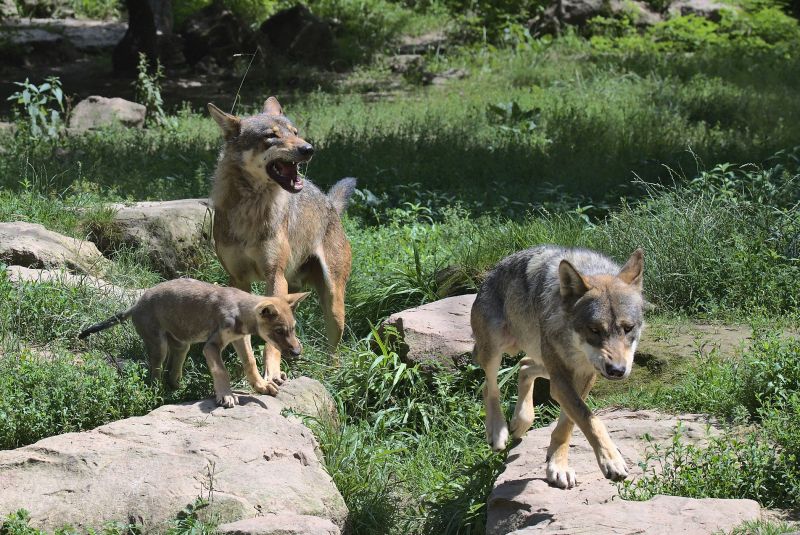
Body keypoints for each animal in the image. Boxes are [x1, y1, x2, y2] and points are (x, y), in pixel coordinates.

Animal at [79, 278, 310, 408]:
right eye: (279, 331)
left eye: (293, 328)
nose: (298, 352)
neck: (240, 310)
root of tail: (135, 305)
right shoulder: (211, 346)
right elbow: (221, 371)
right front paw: (226, 395)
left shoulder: (240, 340)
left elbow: (251, 364)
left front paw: (262, 386)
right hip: (159, 347)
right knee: (155, 375)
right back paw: (158, 395)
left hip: (182, 346)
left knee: (171, 374)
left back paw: (180, 391)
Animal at [208, 97, 354, 394]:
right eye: (271, 136)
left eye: (295, 132)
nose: (308, 149)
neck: (251, 210)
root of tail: (330, 204)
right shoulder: (238, 280)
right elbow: (248, 343)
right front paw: (254, 377)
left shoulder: (274, 275)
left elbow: (270, 346)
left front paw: (272, 373)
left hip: (334, 305)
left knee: (334, 350)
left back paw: (332, 376)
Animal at [472, 247, 648, 490]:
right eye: (594, 330)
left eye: (628, 328)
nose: (617, 370)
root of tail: (491, 273)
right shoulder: (563, 380)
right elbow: (590, 420)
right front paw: (611, 461)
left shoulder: (584, 375)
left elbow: (569, 424)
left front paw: (557, 465)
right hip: (496, 348)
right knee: (490, 387)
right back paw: (498, 431)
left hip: (543, 363)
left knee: (523, 366)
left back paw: (520, 421)